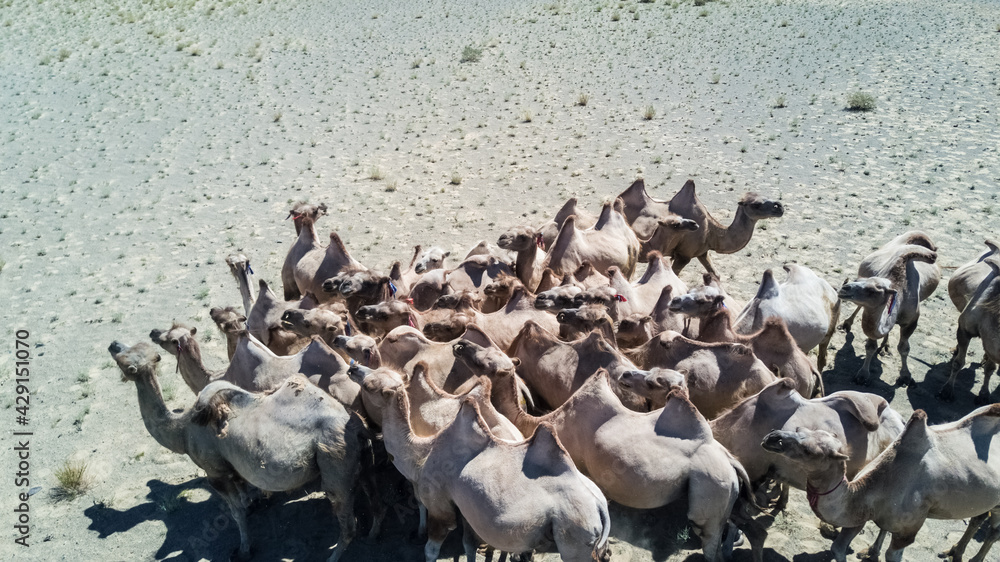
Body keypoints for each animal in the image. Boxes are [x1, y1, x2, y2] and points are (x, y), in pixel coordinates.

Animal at [108, 341, 371, 562]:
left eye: (122, 360)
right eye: (129, 348)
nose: (113, 344)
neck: (182, 430)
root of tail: (357, 427)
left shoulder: (215, 471)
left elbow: (236, 513)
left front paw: (243, 549)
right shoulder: (233, 467)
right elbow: (244, 496)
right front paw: (255, 505)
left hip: (334, 457)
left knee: (346, 519)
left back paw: (332, 557)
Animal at [381, 388, 611, 562]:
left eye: (374, 385)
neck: (423, 453)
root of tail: (600, 504)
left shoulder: (440, 505)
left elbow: (431, 550)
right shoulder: (466, 508)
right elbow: (468, 545)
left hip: (575, 532)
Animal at [761, 405, 1000, 562]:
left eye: (809, 451)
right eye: (799, 430)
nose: (772, 437)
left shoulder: (907, 531)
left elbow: (891, 554)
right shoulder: (863, 512)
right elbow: (841, 546)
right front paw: (870, 552)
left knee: (993, 531)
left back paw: (974, 559)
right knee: (978, 518)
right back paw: (954, 552)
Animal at [838, 231, 940, 386]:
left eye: (872, 291)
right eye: (858, 281)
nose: (844, 288)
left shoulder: (912, 321)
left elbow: (904, 348)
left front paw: (905, 376)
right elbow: (870, 346)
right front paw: (863, 375)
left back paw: (885, 346)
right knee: (859, 307)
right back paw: (847, 324)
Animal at [939, 256, 1000, 403]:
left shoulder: (994, 346)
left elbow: (990, 368)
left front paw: (984, 395)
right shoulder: (964, 330)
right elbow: (958, 362)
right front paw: (946, 391)